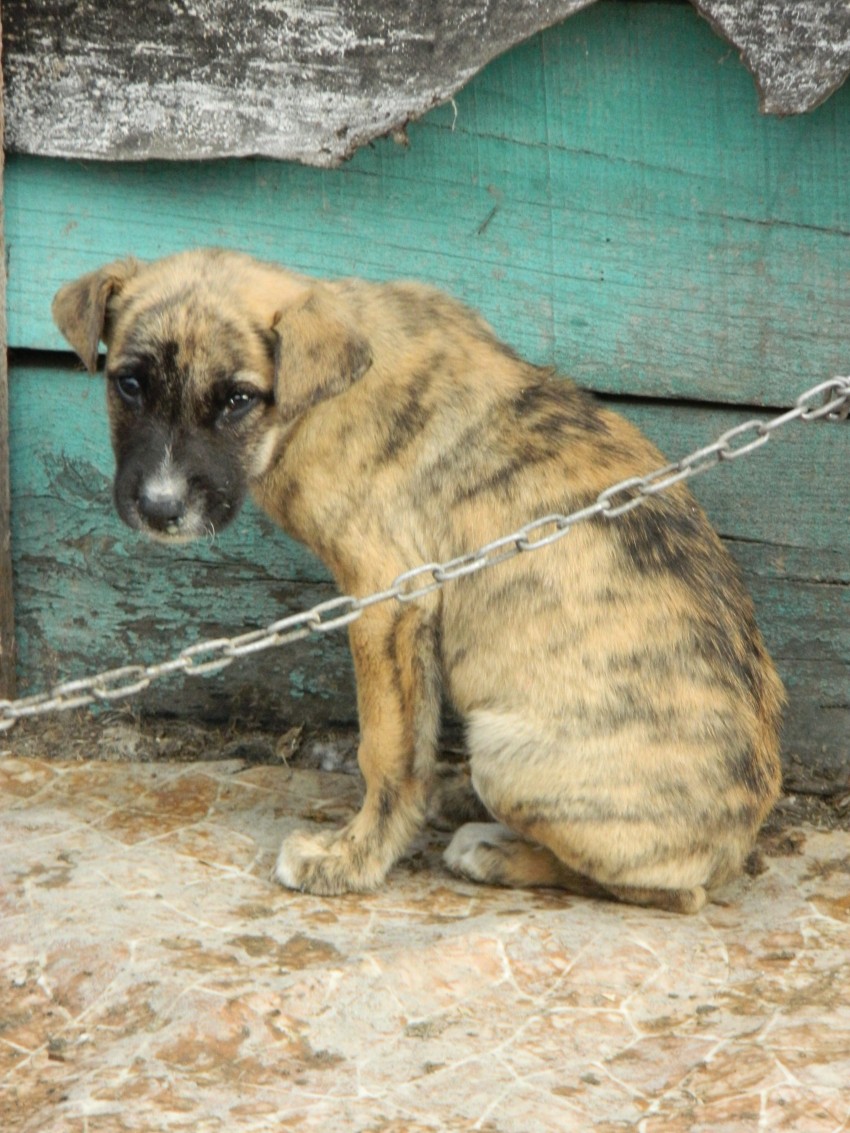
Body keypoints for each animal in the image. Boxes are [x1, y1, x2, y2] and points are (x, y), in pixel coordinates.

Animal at [53, 248, 784, 910]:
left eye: (236, 399)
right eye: (129, 385)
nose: (160, 509)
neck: (312, 404)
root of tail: (737, 841)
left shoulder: (390, 595)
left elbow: (386, 750)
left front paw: (353, 858)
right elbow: (411, 743)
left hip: (511, 754)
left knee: (671, 892)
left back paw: (494, 850)